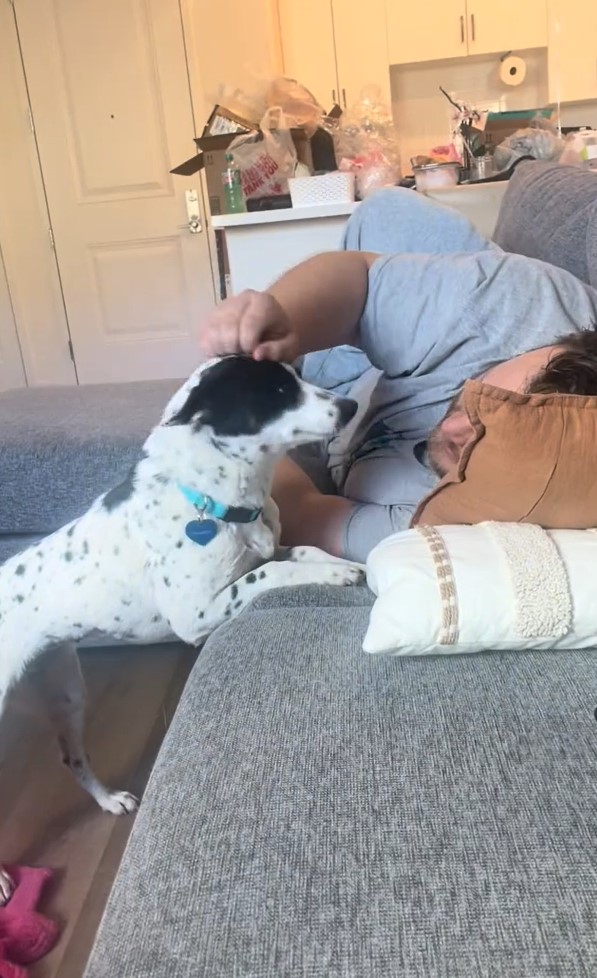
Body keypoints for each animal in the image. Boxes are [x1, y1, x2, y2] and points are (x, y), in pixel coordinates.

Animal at [0, 352, 360, 900]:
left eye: (297, 376)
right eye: (277, 391)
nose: (351, 405)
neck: (215, 500)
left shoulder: (272, 548)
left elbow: (300, 551)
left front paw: (342, 564)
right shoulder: (198, 615)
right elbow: (272, 573)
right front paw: (335, 574)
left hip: (67, 693)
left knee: (73, 759)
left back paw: (109, 800)